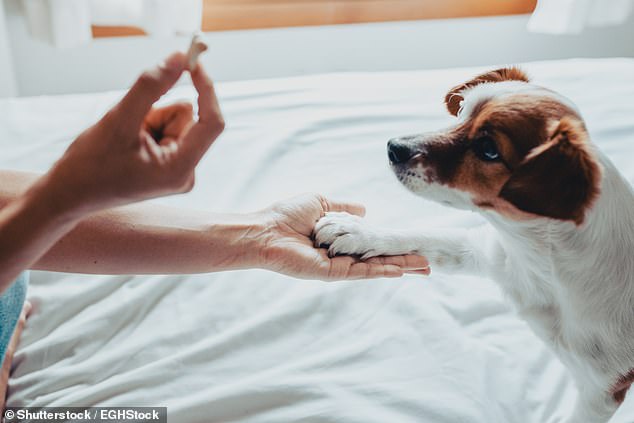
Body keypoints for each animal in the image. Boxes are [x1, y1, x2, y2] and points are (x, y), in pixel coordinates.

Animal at [314, 68, 632, 422]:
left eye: (488, 149)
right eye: (462, 112)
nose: (393, 147)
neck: (536, 255)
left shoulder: (600, 390)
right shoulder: (488, 253)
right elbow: (425, 236)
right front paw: (358, 231)